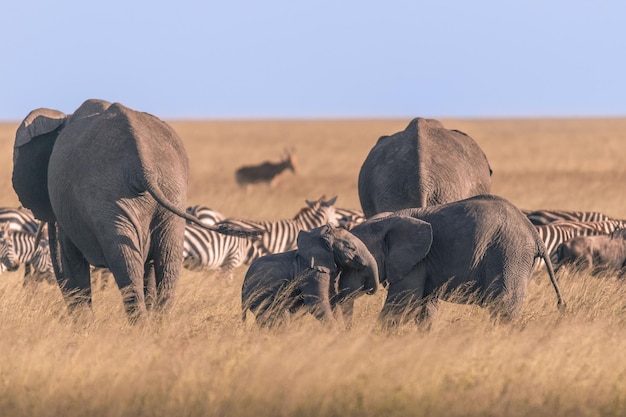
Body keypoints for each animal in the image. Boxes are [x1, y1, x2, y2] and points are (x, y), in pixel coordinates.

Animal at [12, 99, 251, 320]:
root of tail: (142, 164)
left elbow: (67, 262)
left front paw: (84, 329)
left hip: (110, 198)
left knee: (126, 262)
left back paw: (142, 328)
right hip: (170, 191)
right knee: (165, 259)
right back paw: (157, 328)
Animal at [239, 223, 376, 326]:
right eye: (351, 248)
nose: (369, 291)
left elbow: (331, 300)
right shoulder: (310, 271)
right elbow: (318, 303)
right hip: (260, 294)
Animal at [336, 195, 564, 328]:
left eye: (356, 263)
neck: (387, 221)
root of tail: (534, 233)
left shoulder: (415, 263)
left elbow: (400, 304)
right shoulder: (423, 263)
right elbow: (424, 307)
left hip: (510, 255)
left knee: (503, 307)